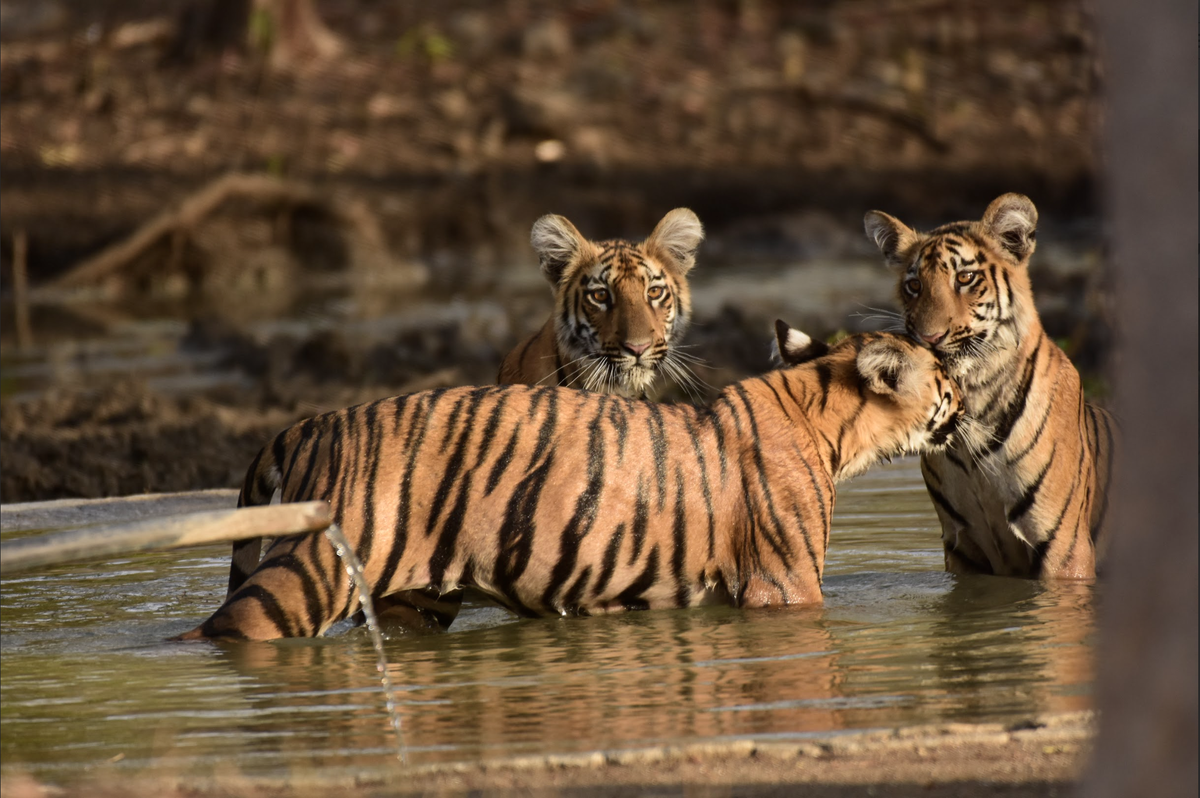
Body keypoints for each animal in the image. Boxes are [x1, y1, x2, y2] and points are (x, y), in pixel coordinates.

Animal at [178, 326, 964, 641]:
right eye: (943, 376)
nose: (963, 393)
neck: (824, 414)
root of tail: (308, 424)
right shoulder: (785, 584)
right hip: (314, 569)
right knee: (228, 626)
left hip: (415, 599)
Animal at [863, 192, 1118, 580]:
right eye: (914, 286)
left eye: (965, 277)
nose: (929, 338)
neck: (972, 401)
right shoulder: (963, 549)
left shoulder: (1064, 546)